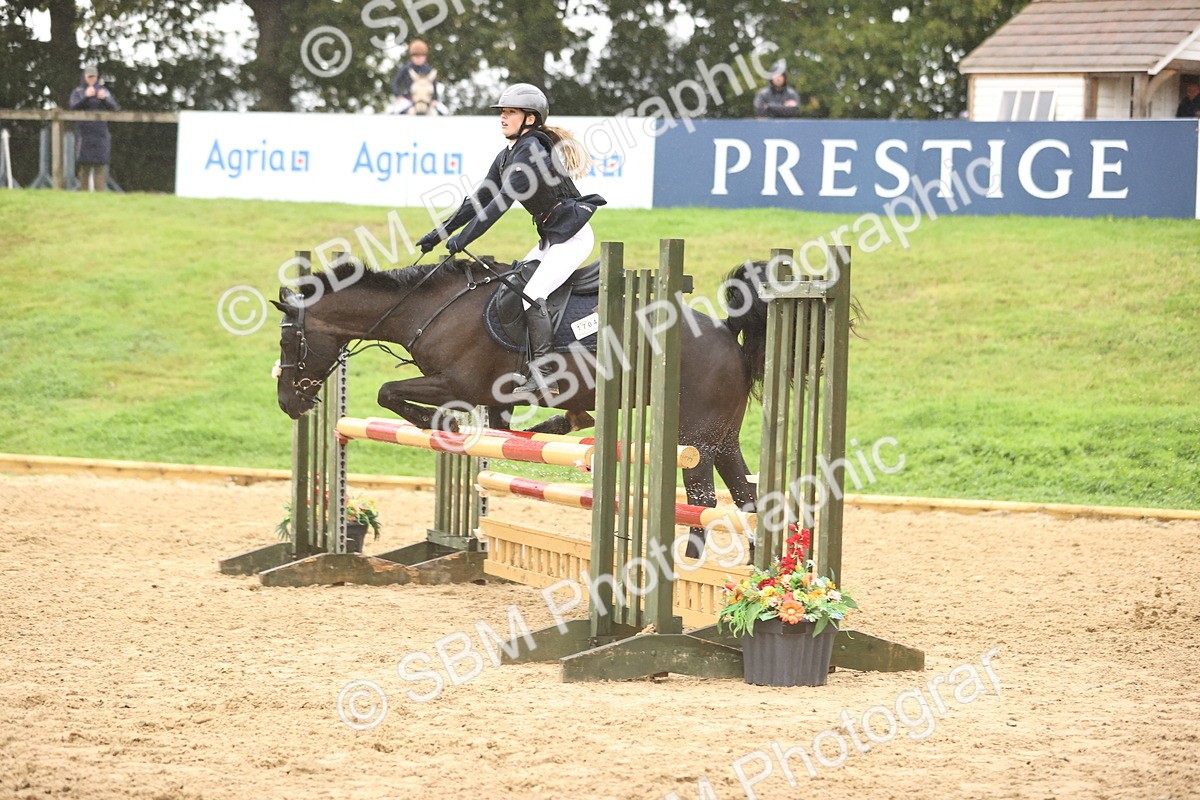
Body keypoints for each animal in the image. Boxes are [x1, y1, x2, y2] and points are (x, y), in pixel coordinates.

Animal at [272, 258, 770, 556]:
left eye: (288, 342)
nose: (287, 402)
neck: (427, 309)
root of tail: (725, 330)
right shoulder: (495, 402)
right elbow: (504, 434)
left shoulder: (458, 384)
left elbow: (388, 391)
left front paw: (443, 422)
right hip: (723, 438)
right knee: (747, 496)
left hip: (694, 437)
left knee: (704, 503)